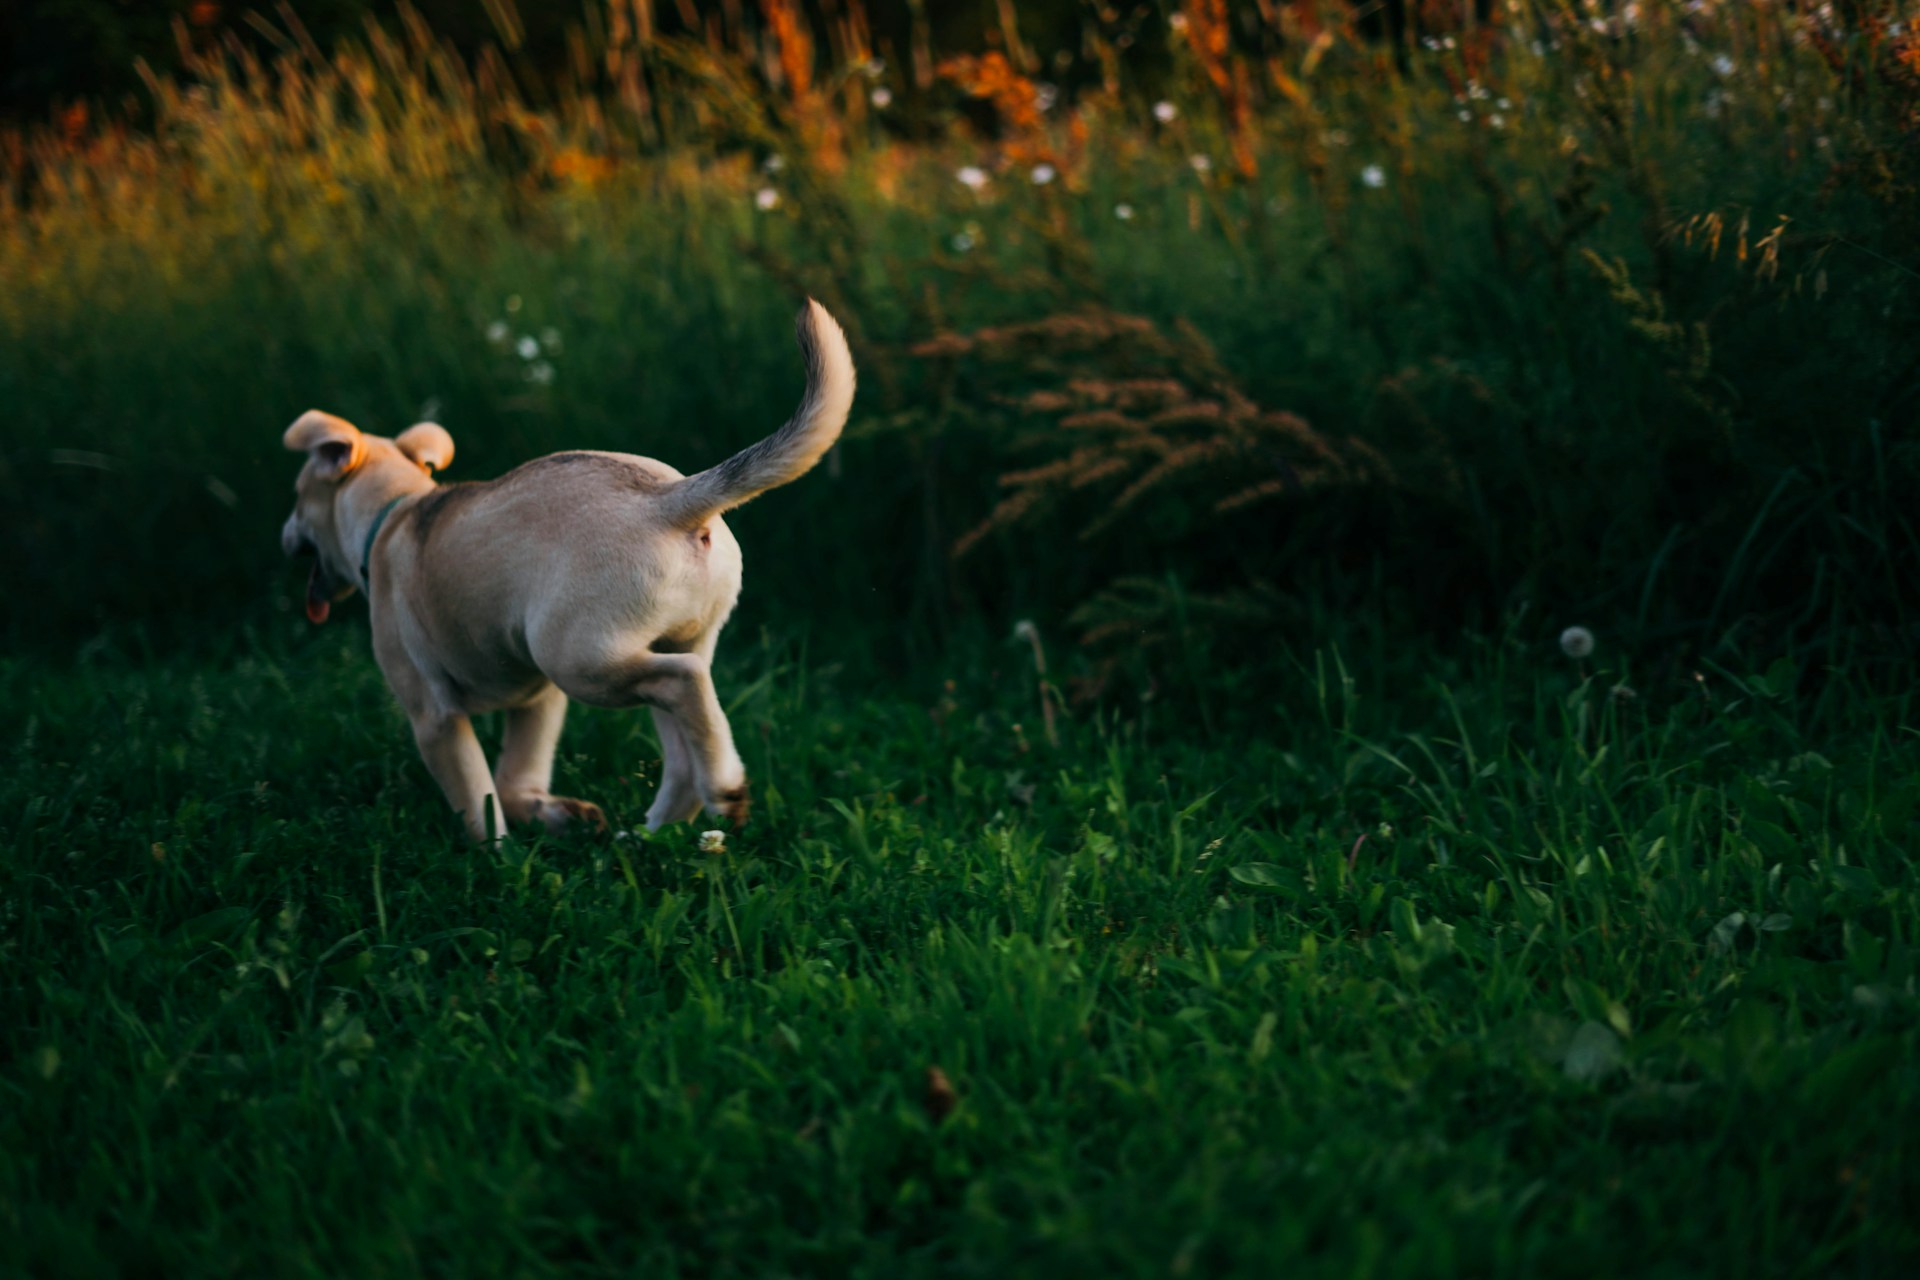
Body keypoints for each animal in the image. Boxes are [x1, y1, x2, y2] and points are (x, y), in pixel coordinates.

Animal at [280, 301, 856, 840]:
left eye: (298, 495)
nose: (286, 537)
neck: (394, 511)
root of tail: (668, 499)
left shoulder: (435, 716)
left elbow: (477, 797)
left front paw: (500, 859)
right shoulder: (538, 701)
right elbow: (512, 780)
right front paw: (551, 816)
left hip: (578, 661)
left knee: (684, 683)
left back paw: (725, 789)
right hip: (665, 641)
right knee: (683, 737)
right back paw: (653, 832)